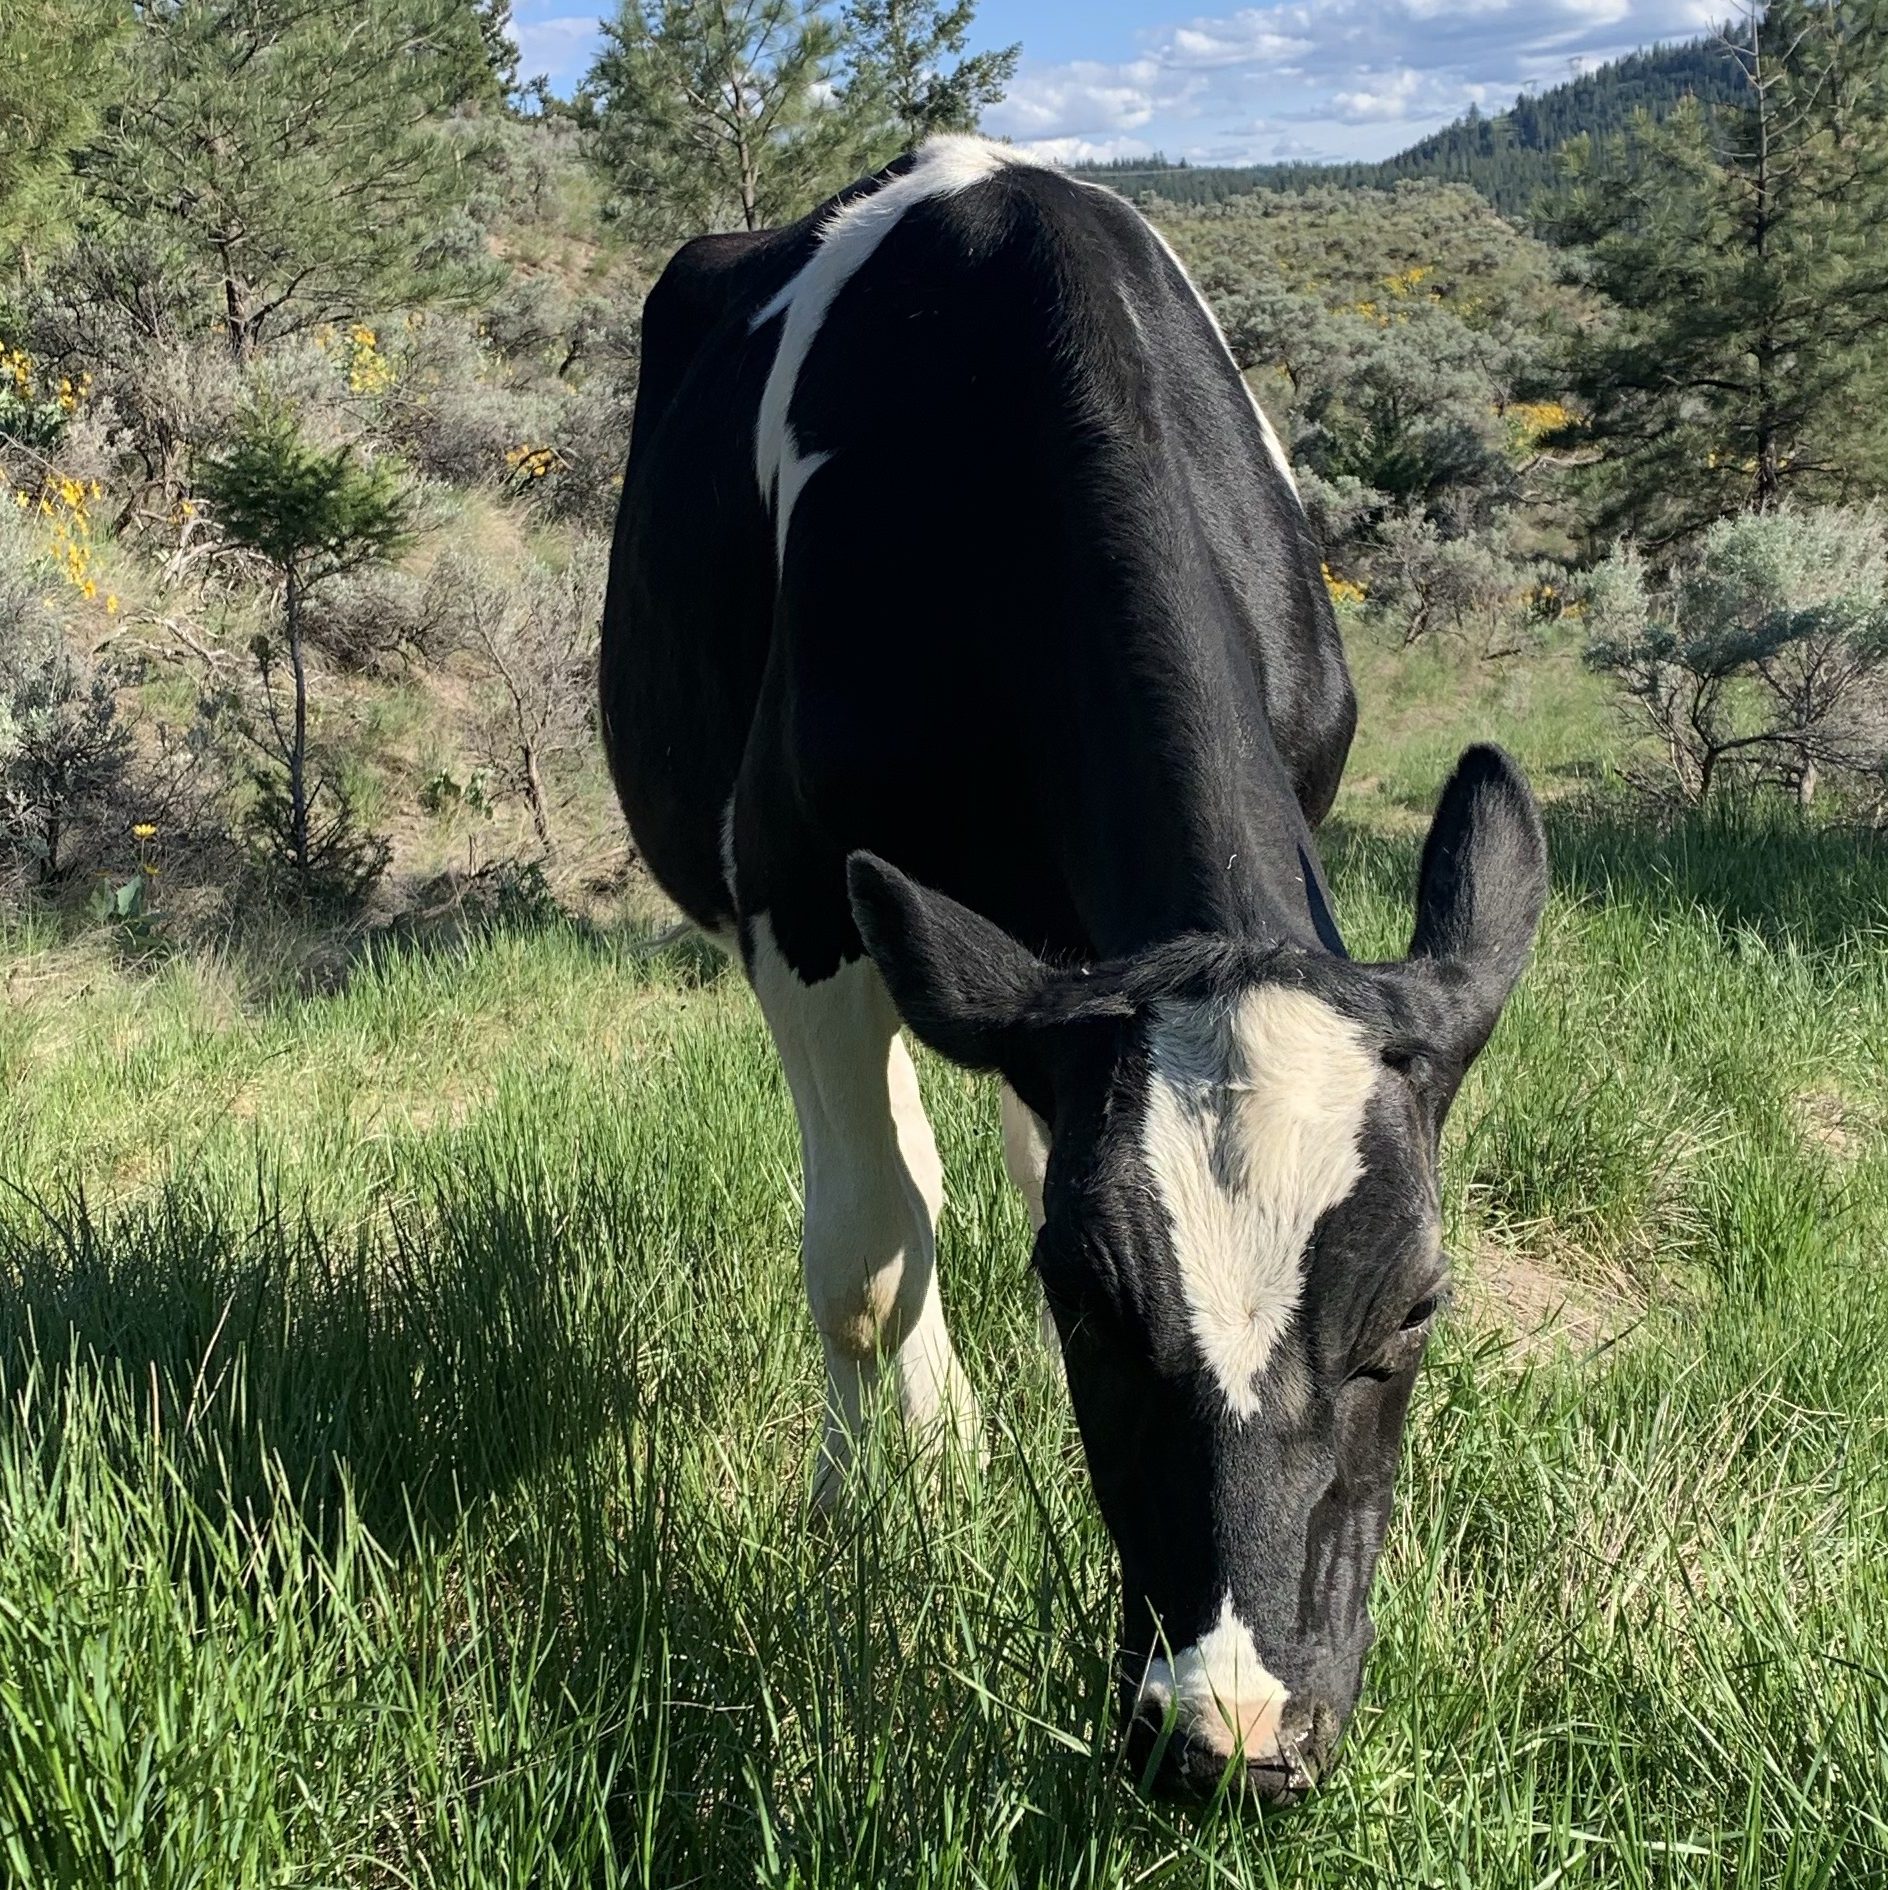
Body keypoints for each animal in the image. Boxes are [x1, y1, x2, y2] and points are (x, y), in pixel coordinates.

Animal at [599, 136, 1548, 1804]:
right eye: (1086, 1295)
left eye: (1421, 1304)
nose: (1231, 1735)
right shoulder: (794, 886)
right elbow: (865, 1257)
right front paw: (877, 1502)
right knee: (894, 1181)